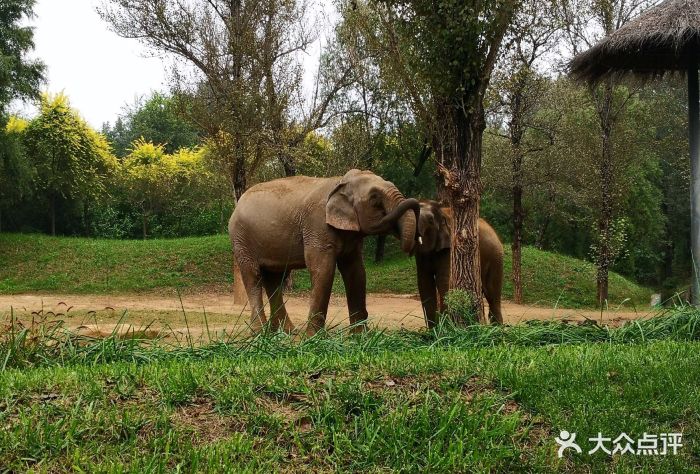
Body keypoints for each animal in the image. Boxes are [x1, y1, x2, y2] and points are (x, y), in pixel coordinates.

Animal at [230, 168, 418, 336]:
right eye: (374, 198)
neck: (340, 182)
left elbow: (356, 272)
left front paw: (360, 336)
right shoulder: (317, 226)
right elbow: (323, 270)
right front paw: (313, 338)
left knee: (274, 279)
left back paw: (286, 332)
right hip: (242, 240)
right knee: (253, 277)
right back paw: (259, 333)